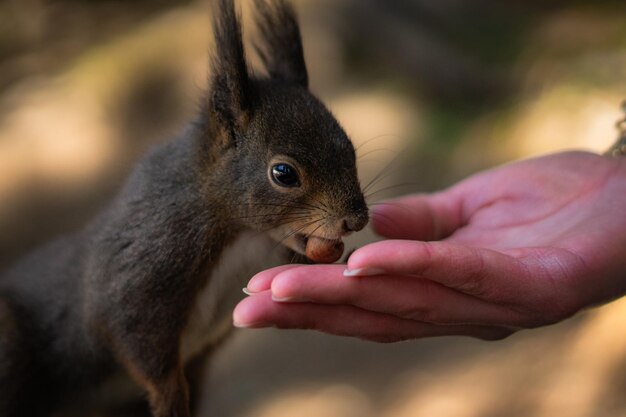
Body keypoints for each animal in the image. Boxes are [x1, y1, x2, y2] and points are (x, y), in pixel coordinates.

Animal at [0, 0, 368, 416]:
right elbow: (131, 333)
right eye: (284, 173)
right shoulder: (144, 263)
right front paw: (170, 399)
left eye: (350, 148)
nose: (356, 220)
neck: (242, 233)